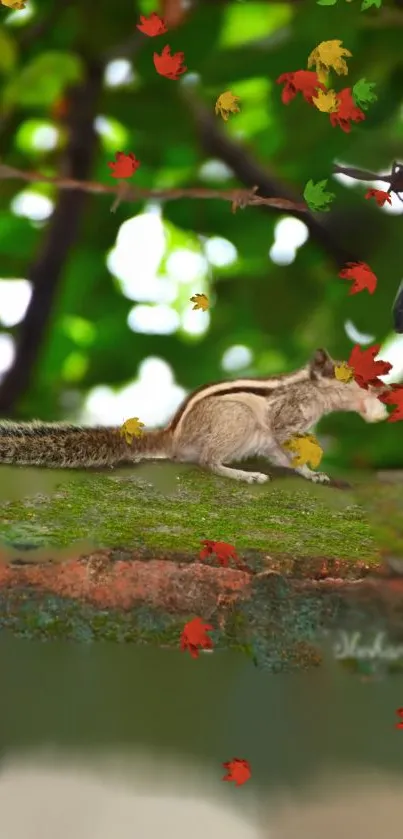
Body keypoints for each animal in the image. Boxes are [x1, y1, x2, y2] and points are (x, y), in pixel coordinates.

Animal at [0, 348, 390, 486]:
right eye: (348, 374)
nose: (379, 388)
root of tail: (172, 435)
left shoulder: (274, 440)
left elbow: (283, 456)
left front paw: (311, 473)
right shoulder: (283, 419)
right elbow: (285, 443)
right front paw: (308, 469)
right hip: (236, 420)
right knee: (206, 461)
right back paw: (243, 474)